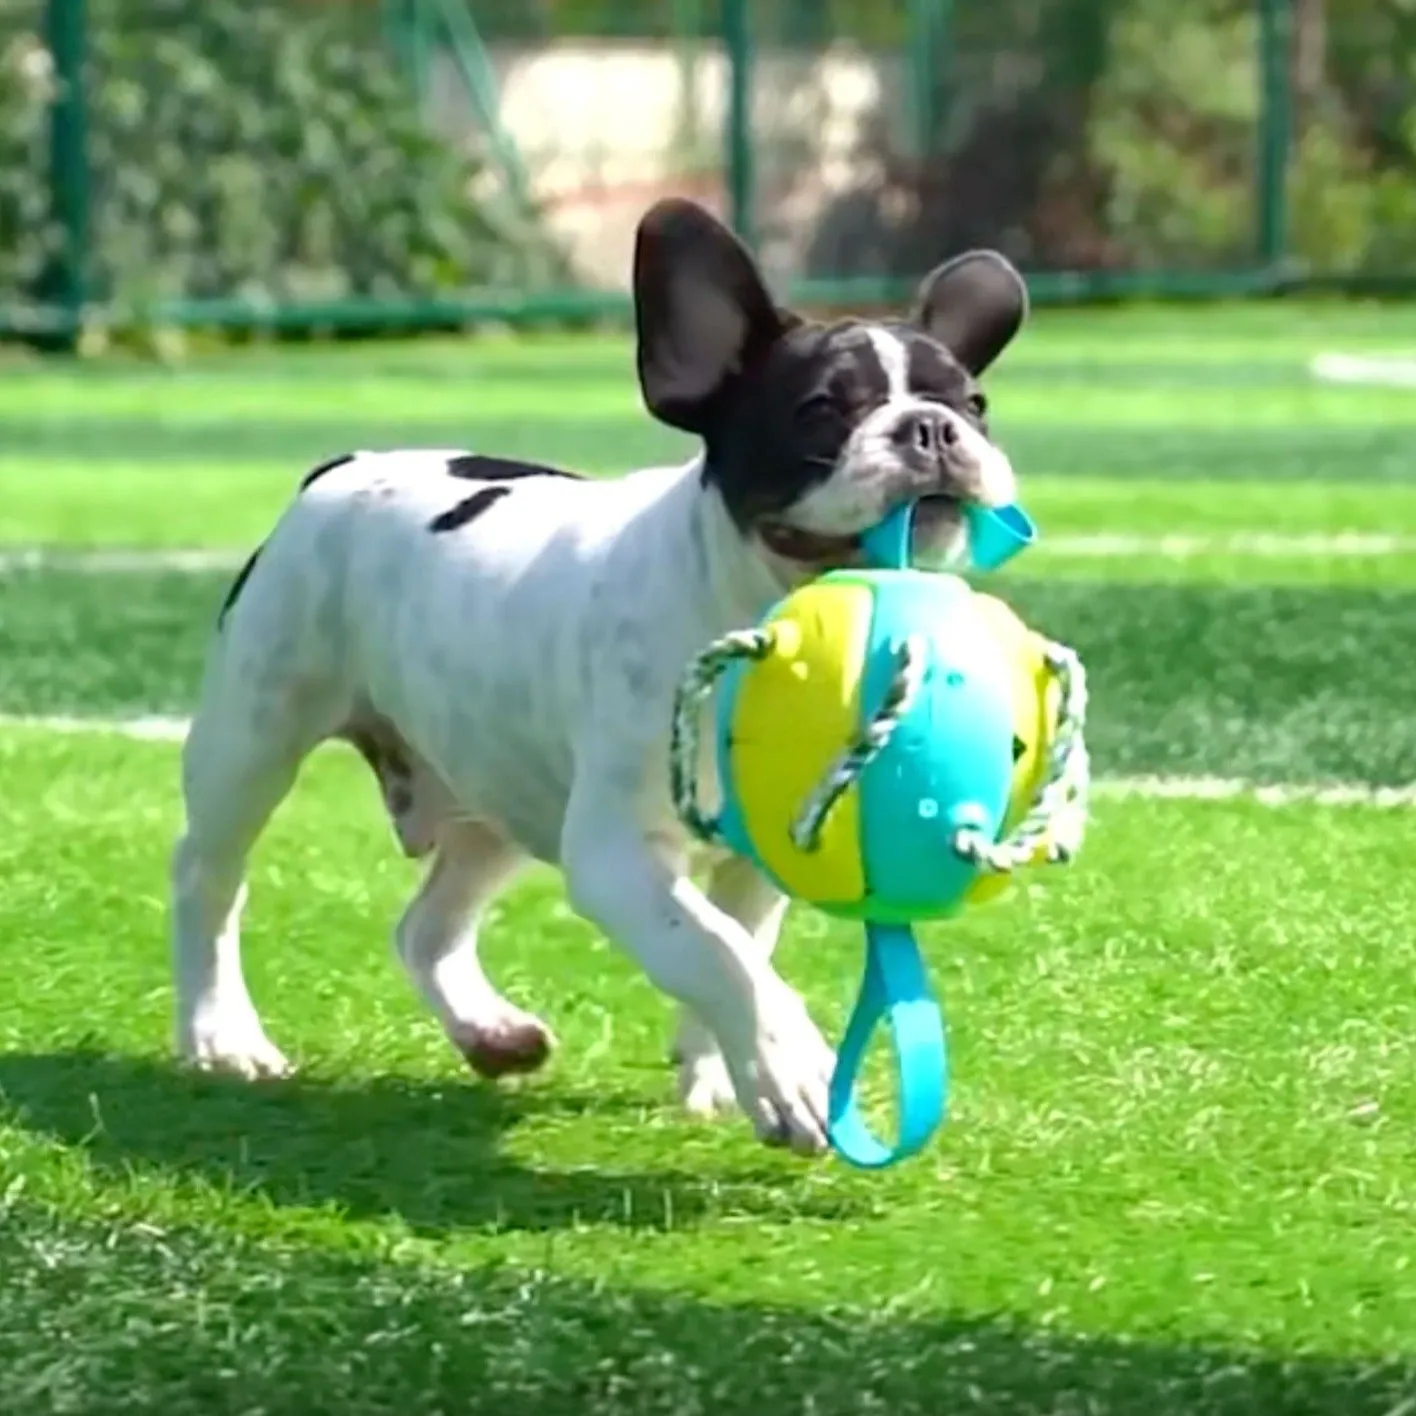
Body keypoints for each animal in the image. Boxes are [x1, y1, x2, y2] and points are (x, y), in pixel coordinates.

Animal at [171, 196, 1025, 1149]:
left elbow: (737, 939)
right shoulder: (619, 852)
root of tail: (345, 467)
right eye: (820, 409)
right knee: (209, 878)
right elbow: (717, 952)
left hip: (494, 787)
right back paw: (221, 1037)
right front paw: (790, 1067)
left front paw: (719, 1075)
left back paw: (489, 1031)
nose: (932, 427)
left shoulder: (758, 857)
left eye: (975, 404)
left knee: (428, 925)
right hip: (256, 730)